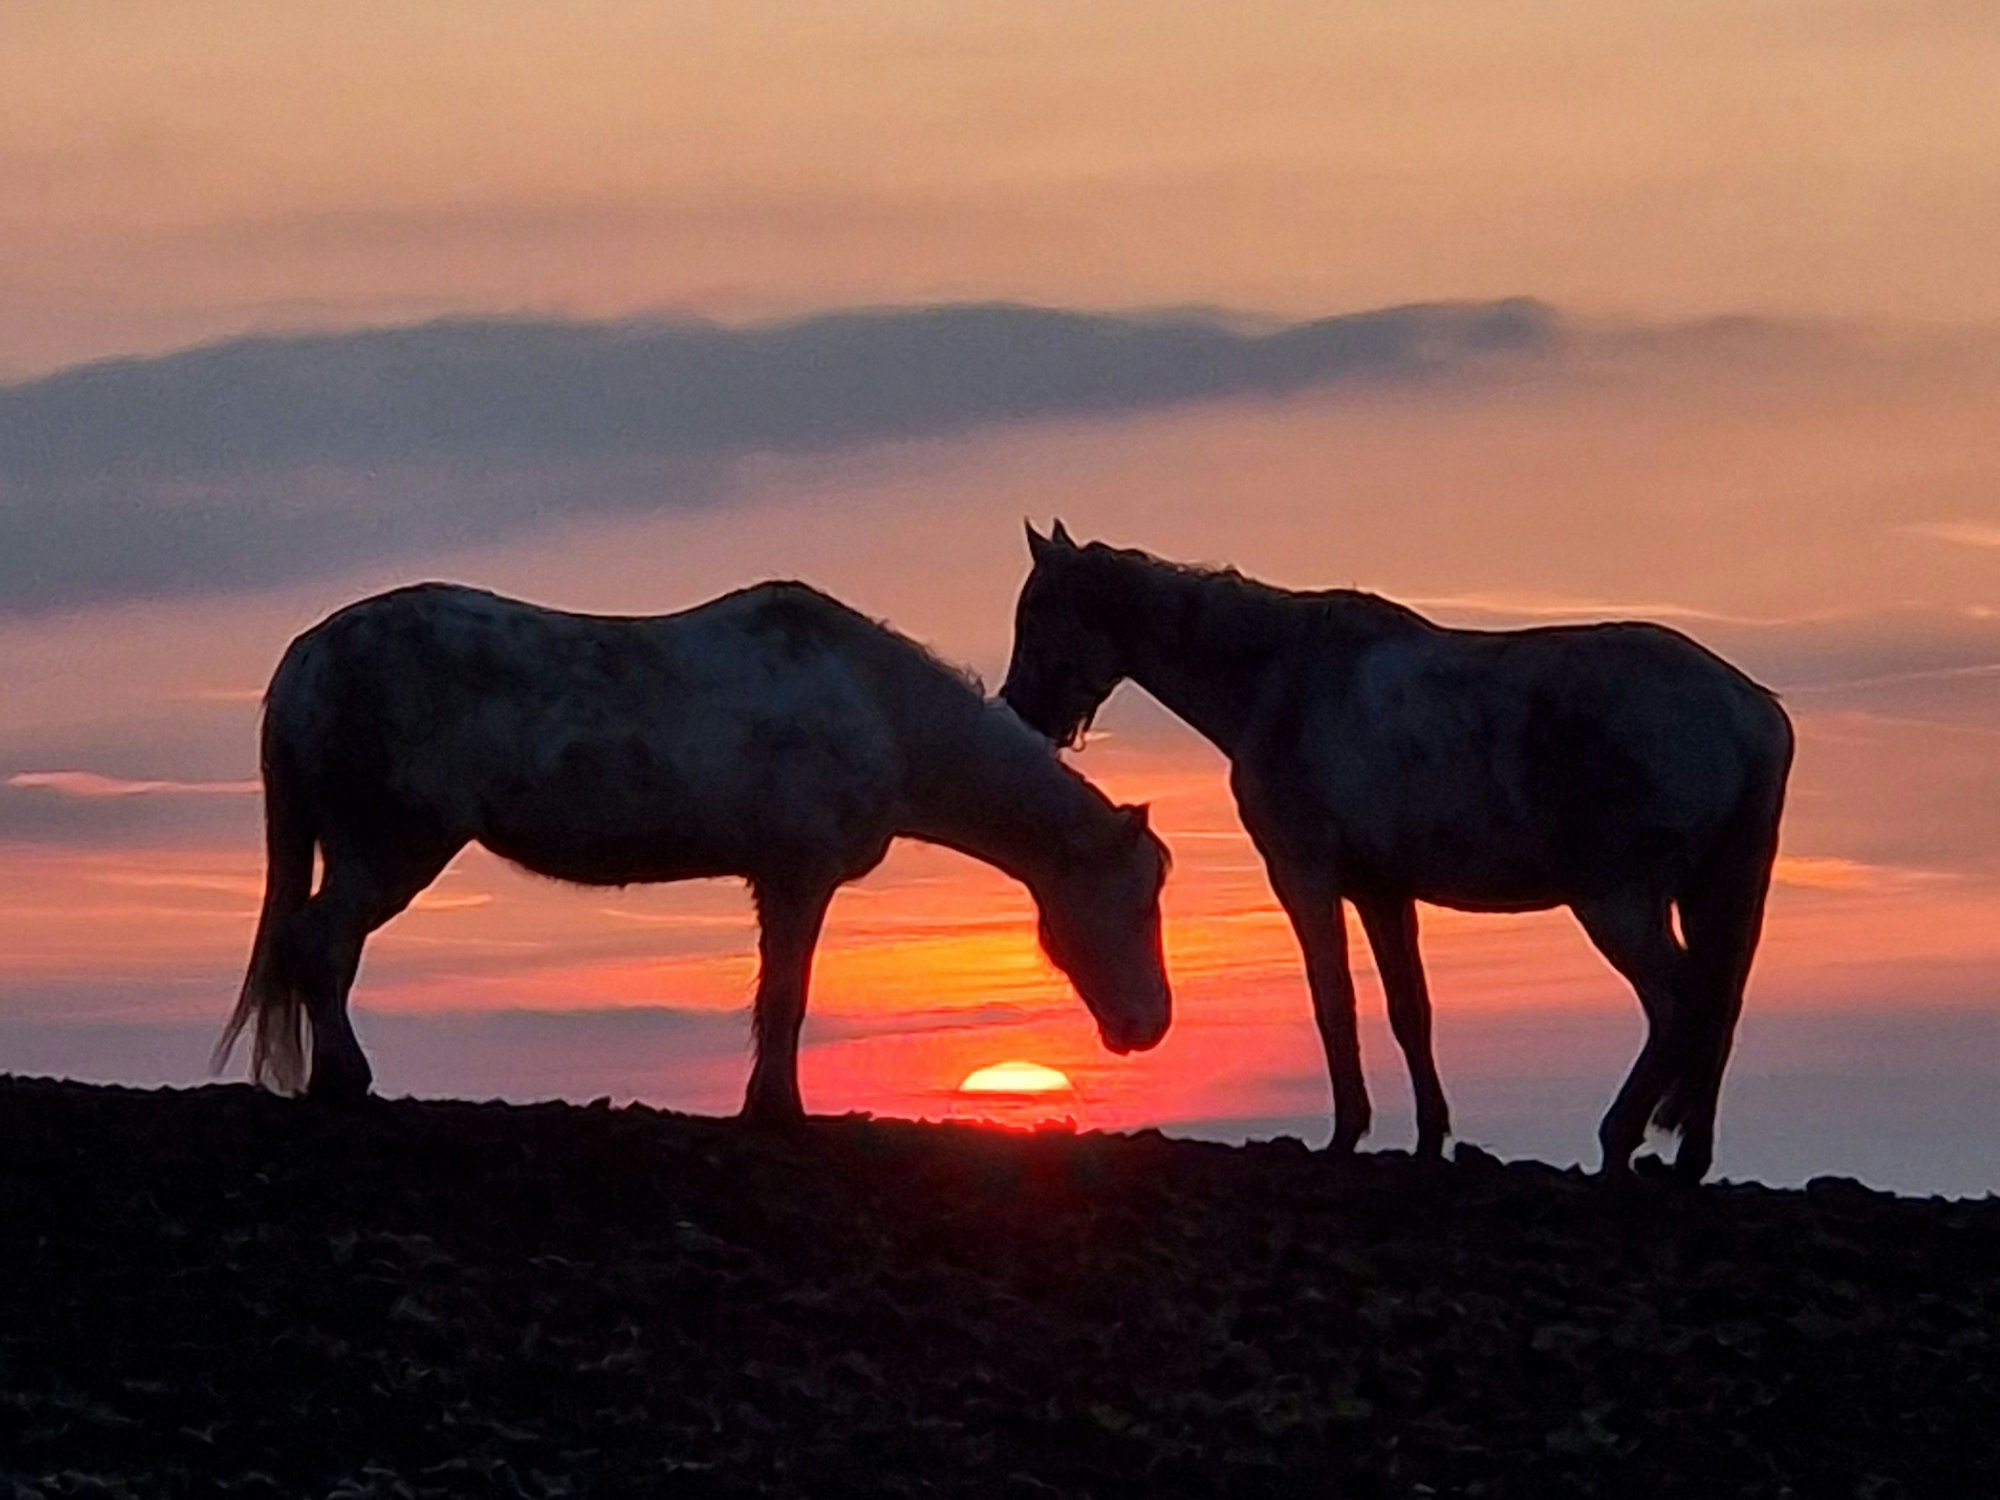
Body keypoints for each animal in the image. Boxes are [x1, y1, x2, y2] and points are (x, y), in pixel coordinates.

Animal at [216, 580, 1172, 1120]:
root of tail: (306, 660)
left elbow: (775, 997)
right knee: (321, 943)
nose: (1149, 1026)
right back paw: (347, 1080)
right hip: (390, 852)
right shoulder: (799, 879)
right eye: (1136, 901)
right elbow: (786, 999)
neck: (879, 707)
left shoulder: (778, 881)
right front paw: (778, 1109)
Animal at [1001, 524, 1792, 1181]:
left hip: (1618, 903)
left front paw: (1347, 1133)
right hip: (1711, 894)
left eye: (1036, 613)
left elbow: (1334, 1001)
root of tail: (1748, 713)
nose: (1020, 716)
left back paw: (1618, 1139)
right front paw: (1428, 1138)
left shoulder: (1305, 877)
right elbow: (1410, 1010)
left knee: (1679, 1000)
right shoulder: (1383, 891)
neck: (1280, 679)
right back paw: (1688, 1159)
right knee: (1719, 1004)